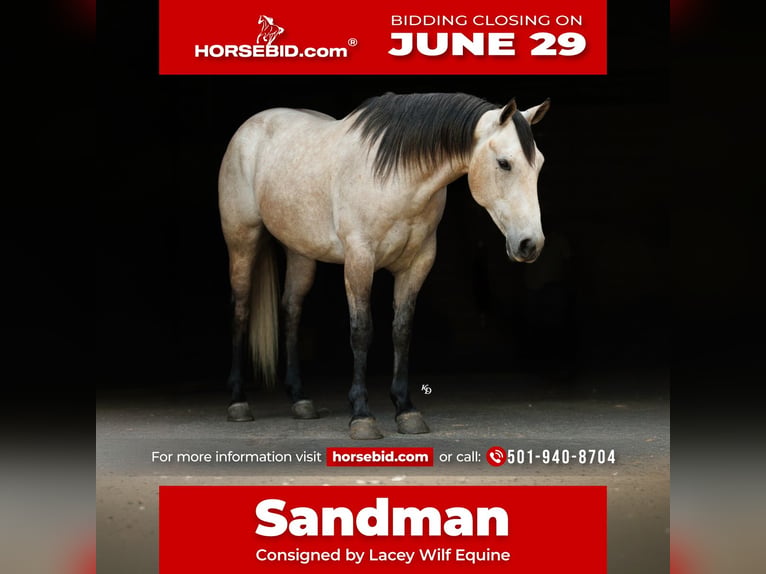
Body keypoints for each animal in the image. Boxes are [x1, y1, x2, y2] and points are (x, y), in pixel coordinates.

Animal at [218, 92, 550, 439]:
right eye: (504, 163)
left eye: (539, 164)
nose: (531, 244)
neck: (397, 178)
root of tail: (250, 127)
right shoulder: (359, 260)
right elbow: (362, 331)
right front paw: (362, 416)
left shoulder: (417, 265)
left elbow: (401, 331)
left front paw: (406, 409)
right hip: (242, 241)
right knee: (241, 309)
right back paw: (238, 402)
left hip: (300, 252)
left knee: (291, 311)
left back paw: (300, 400)